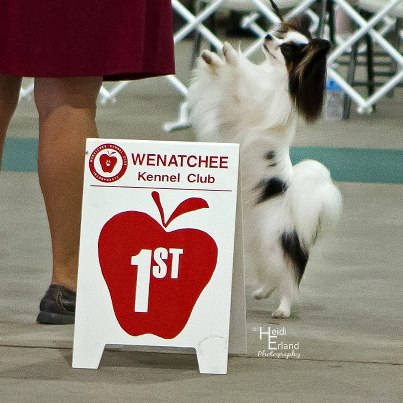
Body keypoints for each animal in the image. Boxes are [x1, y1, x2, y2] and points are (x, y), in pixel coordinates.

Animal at [188, 8, 342, 318]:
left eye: (286, 48)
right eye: (282, 37)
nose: (269, 35)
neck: (275, 77)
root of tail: (298, 219)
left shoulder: (250, 101)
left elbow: (239, 77)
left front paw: (230, 57)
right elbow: (224, 77)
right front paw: (213, 57)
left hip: (273, 243)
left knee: (288, 278)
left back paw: (282, 309)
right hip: (259, 243)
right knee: (272, 274)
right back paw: (261, 292)